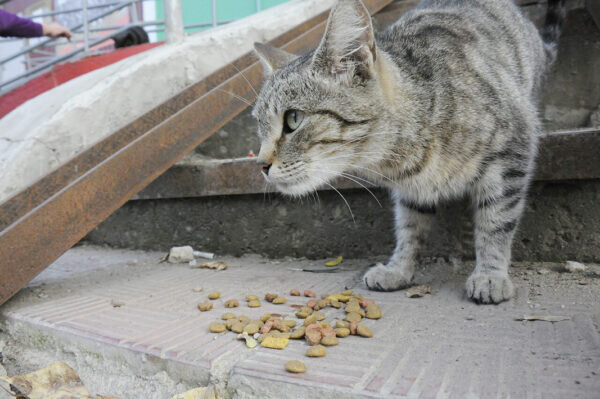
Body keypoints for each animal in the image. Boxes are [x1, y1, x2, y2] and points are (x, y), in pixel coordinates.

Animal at [251, 0, 564, 304]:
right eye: (259, 126)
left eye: (293, 119)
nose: (261, 165)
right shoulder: (411, 190)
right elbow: (409, 228)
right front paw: (399, 269)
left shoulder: (512, 151)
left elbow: (496, 221)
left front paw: (490, 274)